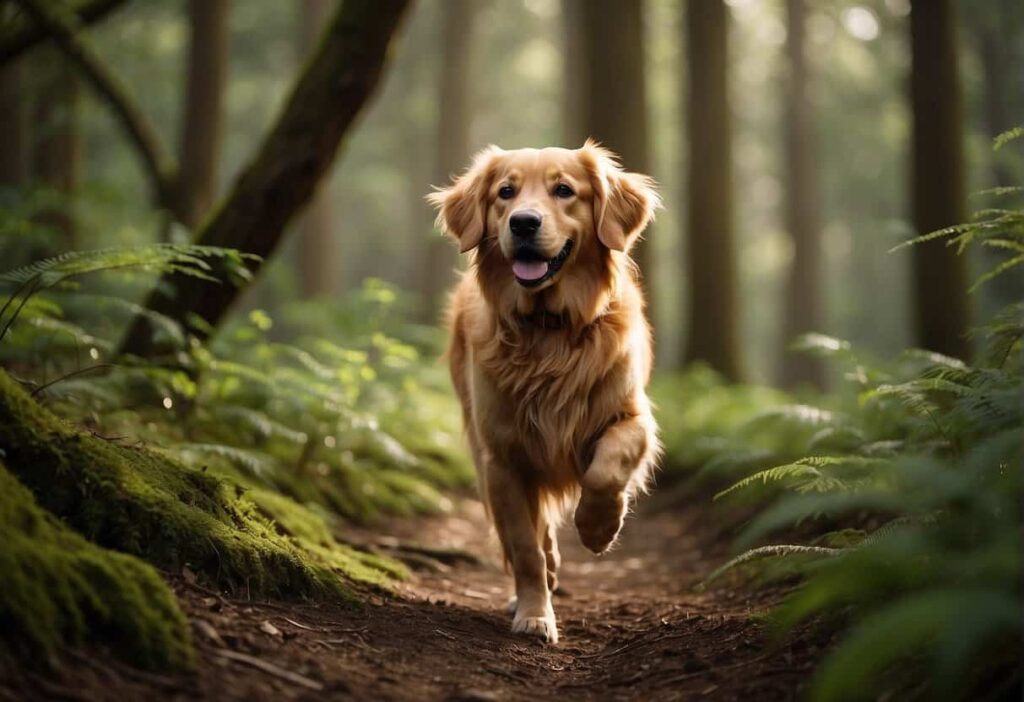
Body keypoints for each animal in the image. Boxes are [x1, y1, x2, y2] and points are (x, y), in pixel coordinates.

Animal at [425, 140, 659, 646]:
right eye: (505, 192)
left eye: (564, 190)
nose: (523, 223)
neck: (548, 331)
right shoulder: (503, 456)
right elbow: (524, 547)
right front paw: (535, 613)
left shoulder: (634, 418)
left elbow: (605, 472)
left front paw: (598, 528)